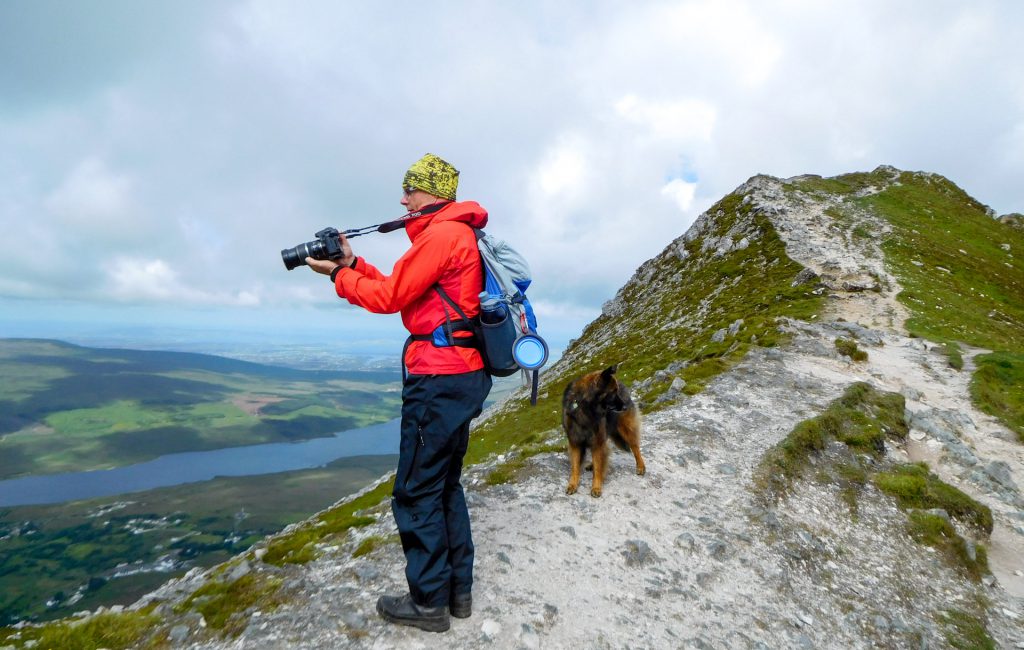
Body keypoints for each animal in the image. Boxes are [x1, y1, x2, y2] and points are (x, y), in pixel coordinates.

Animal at [565, 366, 643, 497]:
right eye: (613, 392)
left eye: (617, 391)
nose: (625, 407)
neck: (586, 409)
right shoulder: (575, 442)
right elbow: (575, 467)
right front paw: (572, 484)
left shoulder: (597, 441)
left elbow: (598, 467)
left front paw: (596, 487)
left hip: (625, 428)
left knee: (635, 447)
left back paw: (641, 467)